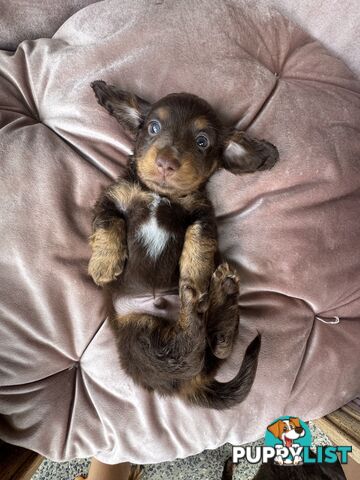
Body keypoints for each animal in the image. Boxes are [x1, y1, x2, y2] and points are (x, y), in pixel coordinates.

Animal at [88, 81, 278, 408]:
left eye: (202, 141)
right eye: (153, 127)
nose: (167, 163)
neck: (162, 194)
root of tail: (189, 385)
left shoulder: (202, 215)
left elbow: (199, 242)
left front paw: (196, 276)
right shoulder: (113, 197)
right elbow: (108, 221)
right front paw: (104, 265)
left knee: (201, 349)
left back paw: (210, 297)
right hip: (140, 332)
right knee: (195, 351)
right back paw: (210, 299)